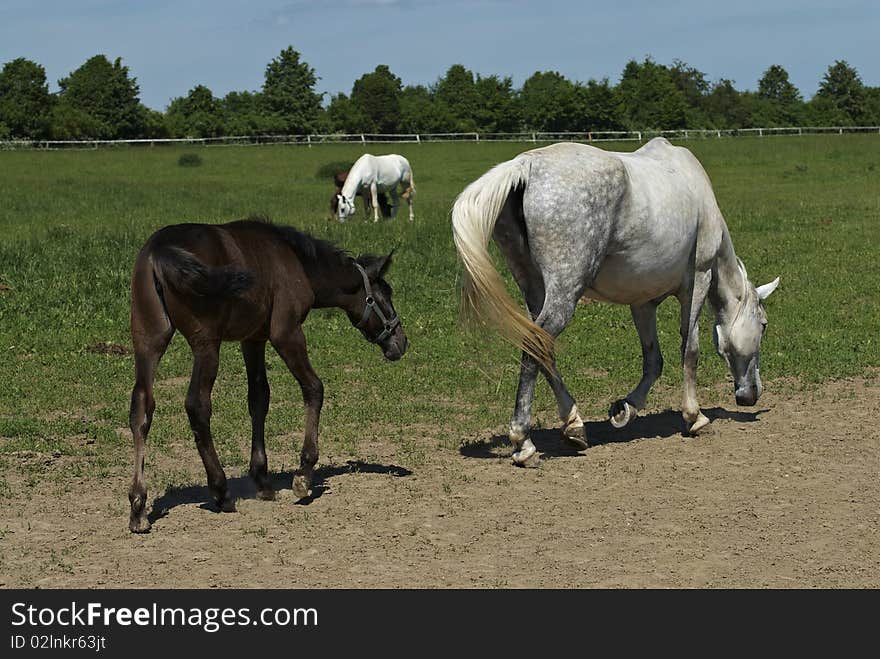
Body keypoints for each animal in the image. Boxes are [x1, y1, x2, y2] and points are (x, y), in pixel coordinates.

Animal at [128, 219, 410, 532]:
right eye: (385, 296)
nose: (401, 342)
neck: (297, 262)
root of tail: (161, 249)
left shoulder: (253, 339)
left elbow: (259, 398)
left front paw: (262, 480)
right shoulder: (286, 332)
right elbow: (314, 388)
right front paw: (303, 475)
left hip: (149, 340)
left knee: (141, 407)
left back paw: (138, 506)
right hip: (206, 344)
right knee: (197, 406)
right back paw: (221, 491)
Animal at [454, 140, 776, 470]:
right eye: (764, 325)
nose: (752, 393)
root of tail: (525, 167)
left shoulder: (643, 302)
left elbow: (653, 360)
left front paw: (626, 409)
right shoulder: (697, 281)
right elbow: (690, 350)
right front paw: (695, 417)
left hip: (535, 288)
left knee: (543, 349)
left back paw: (574, 427)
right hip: (564, 291)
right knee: (535, 344)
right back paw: (524, 443)